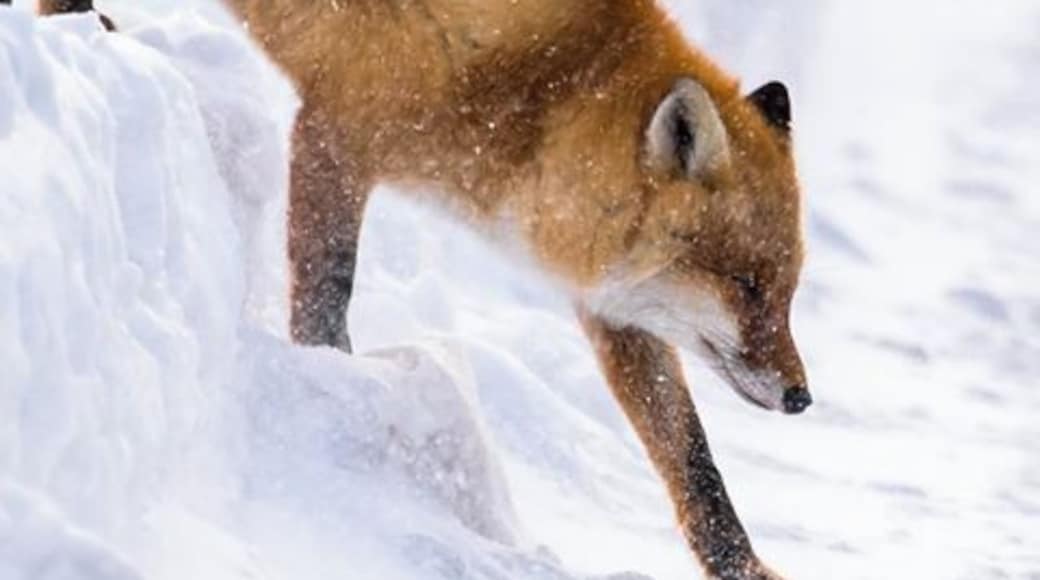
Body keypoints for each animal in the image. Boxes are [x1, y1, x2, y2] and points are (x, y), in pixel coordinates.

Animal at [35, 1, 813, 578]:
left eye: (787, 292)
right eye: (745, 283)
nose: (802, 397)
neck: (544, 90)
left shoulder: (610, 307)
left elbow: (693, 460)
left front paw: (741, 567)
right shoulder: (333, 137)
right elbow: (326, 299)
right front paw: (335, 396)